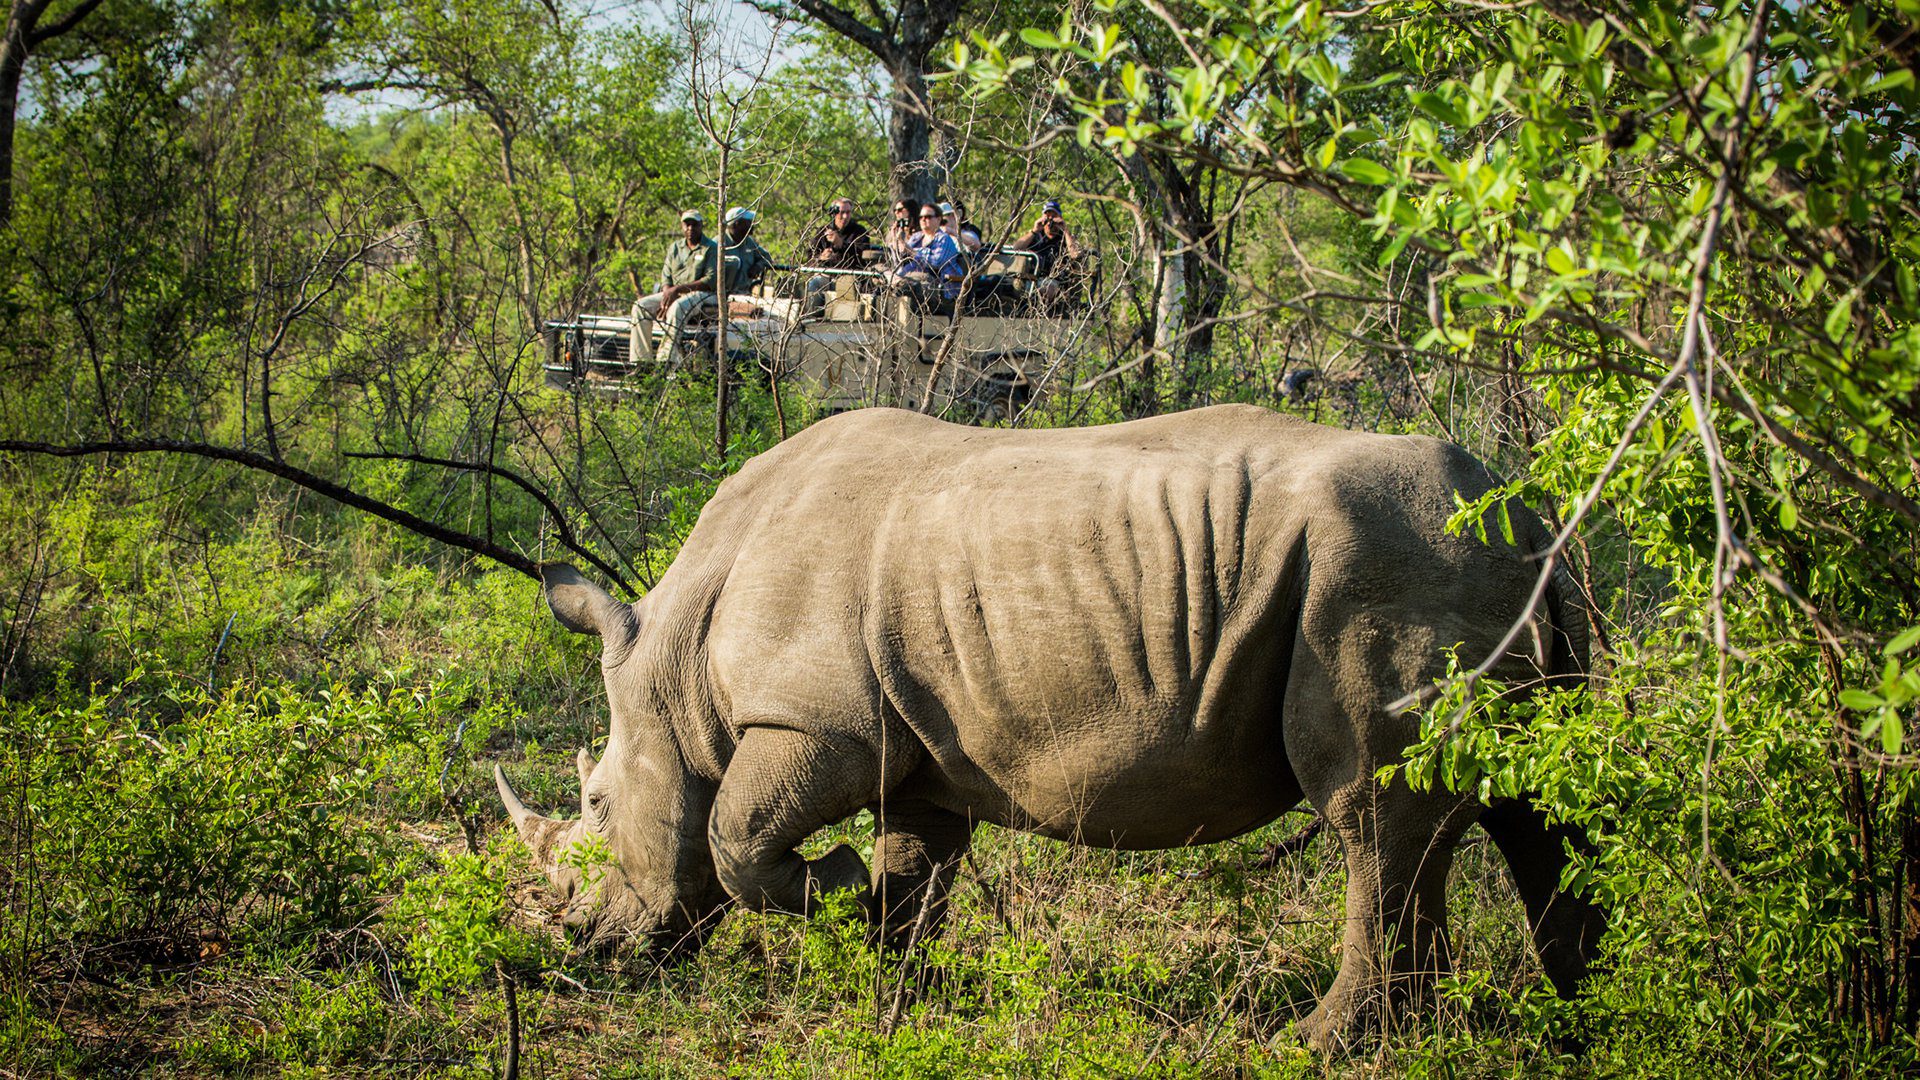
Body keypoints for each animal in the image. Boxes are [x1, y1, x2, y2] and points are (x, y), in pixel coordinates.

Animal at [495, 401, 1605, 1045]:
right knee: (1532, 804)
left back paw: (1318, 1047)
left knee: (1371, 817)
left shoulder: (819, 724)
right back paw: (1587, 1008)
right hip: (1479, 562)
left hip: (1384, 562)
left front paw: (838, 889)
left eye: (596, 803)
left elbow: (734, 838)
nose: (590, 951)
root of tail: (1524, 505)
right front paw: (891, 984)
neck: (674, 663)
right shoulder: (911, 747)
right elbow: (916, 866)